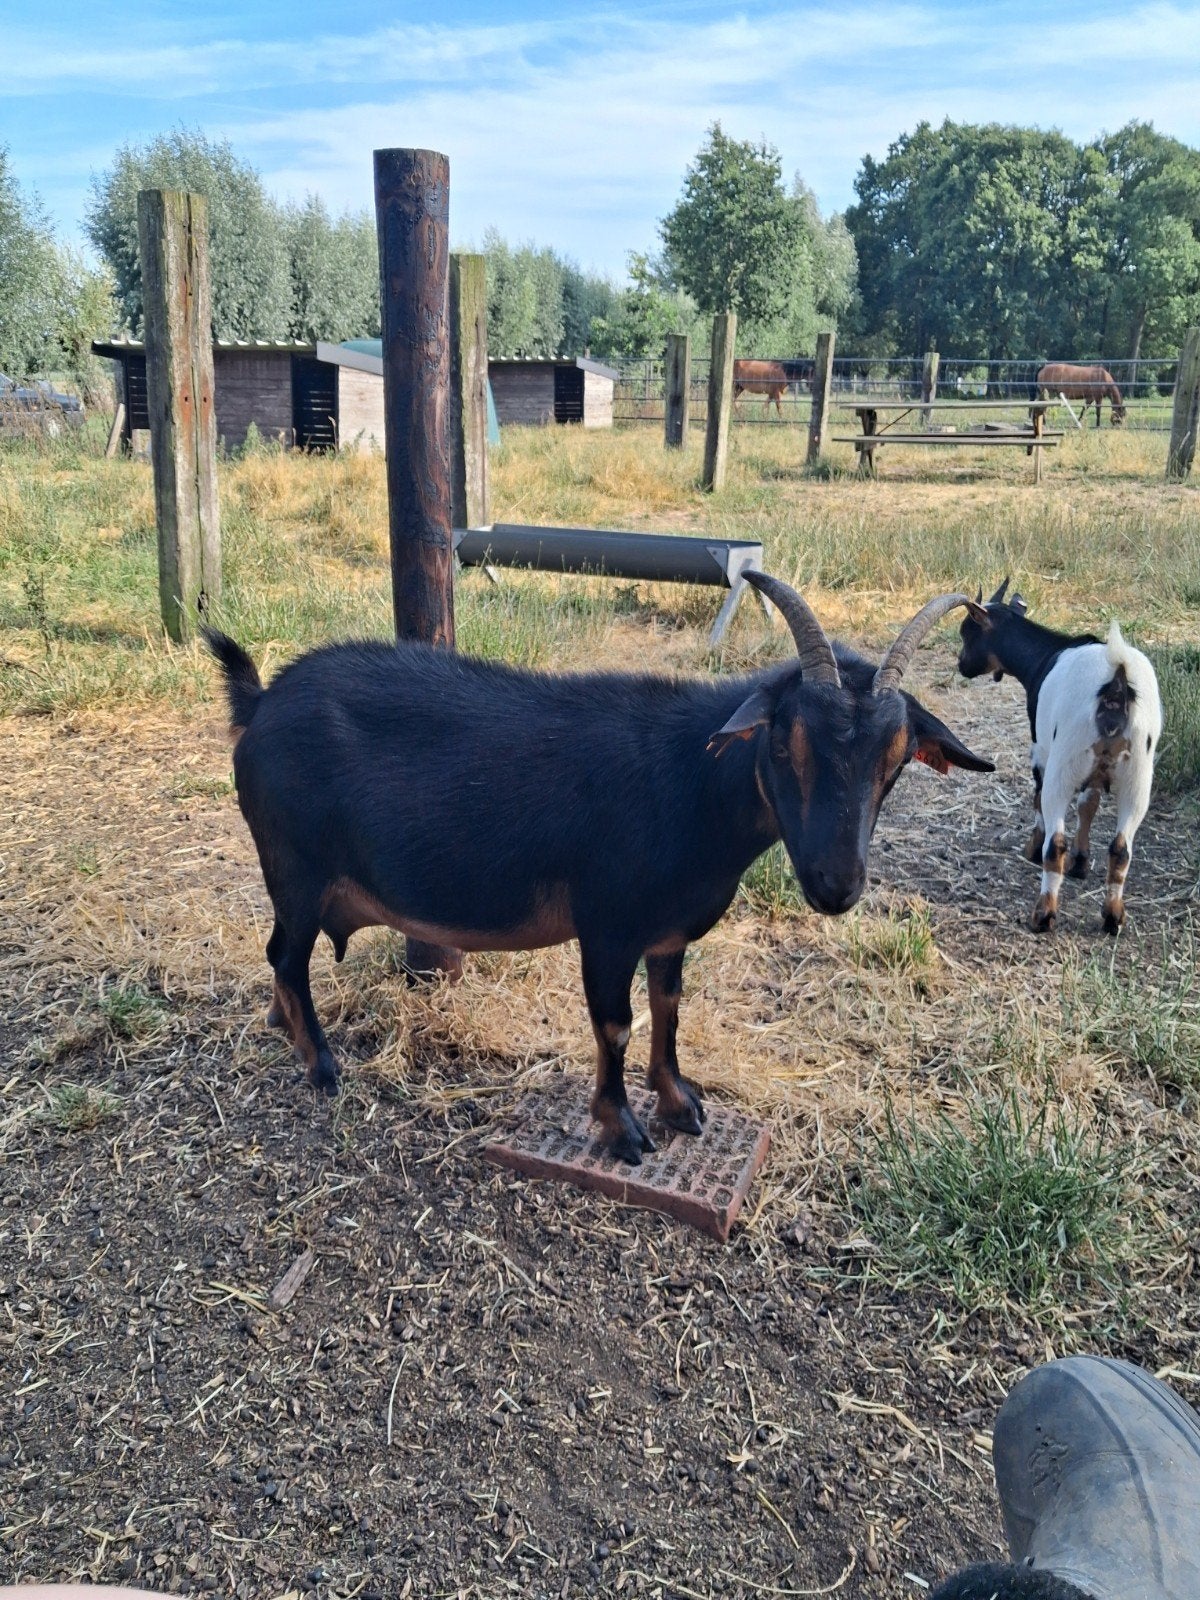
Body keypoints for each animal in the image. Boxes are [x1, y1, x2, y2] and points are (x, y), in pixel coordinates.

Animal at [205, 574, 993, 1163]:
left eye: (896, 760)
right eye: (783, 741)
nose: (837, 886)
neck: (691, 779)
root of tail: (260, 702)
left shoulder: (668, 931)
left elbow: (669, 1010)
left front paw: (680, 1104)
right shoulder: (608, 926)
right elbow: (615, 1024)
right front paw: (623, 1131)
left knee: (281, 957)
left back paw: (285, 1028)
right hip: (296, 868)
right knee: (288, 955)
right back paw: (320, 1065)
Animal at [958, 579, 1161, 934]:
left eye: (967, 632)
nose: (960, 665)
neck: (1045, 655)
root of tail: (1115, 685)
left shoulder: (1040, 750)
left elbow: (1037, 798)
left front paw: (1032, 848)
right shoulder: (1095, 769)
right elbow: (1088, 804)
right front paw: (1081, 862)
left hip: (1064, 762)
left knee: (1056, 841)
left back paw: (1043, 914)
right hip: (1138, 773)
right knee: (1121, 848)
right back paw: (1113, 916)